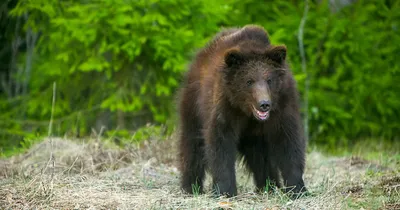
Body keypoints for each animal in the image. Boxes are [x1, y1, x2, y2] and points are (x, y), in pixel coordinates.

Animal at [177, 25, 306, 199]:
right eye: (249, 81)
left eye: (269, 80)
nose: (264, 104)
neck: (246, 111)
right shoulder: (225, 106)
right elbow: (221, 144)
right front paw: (225, 190)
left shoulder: (282, 107)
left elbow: (289, 143)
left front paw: (297, 189)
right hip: (194, 103)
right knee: (192, 144)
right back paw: (190, 187)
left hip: (254, 135)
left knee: (260, 156)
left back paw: (269, 186)